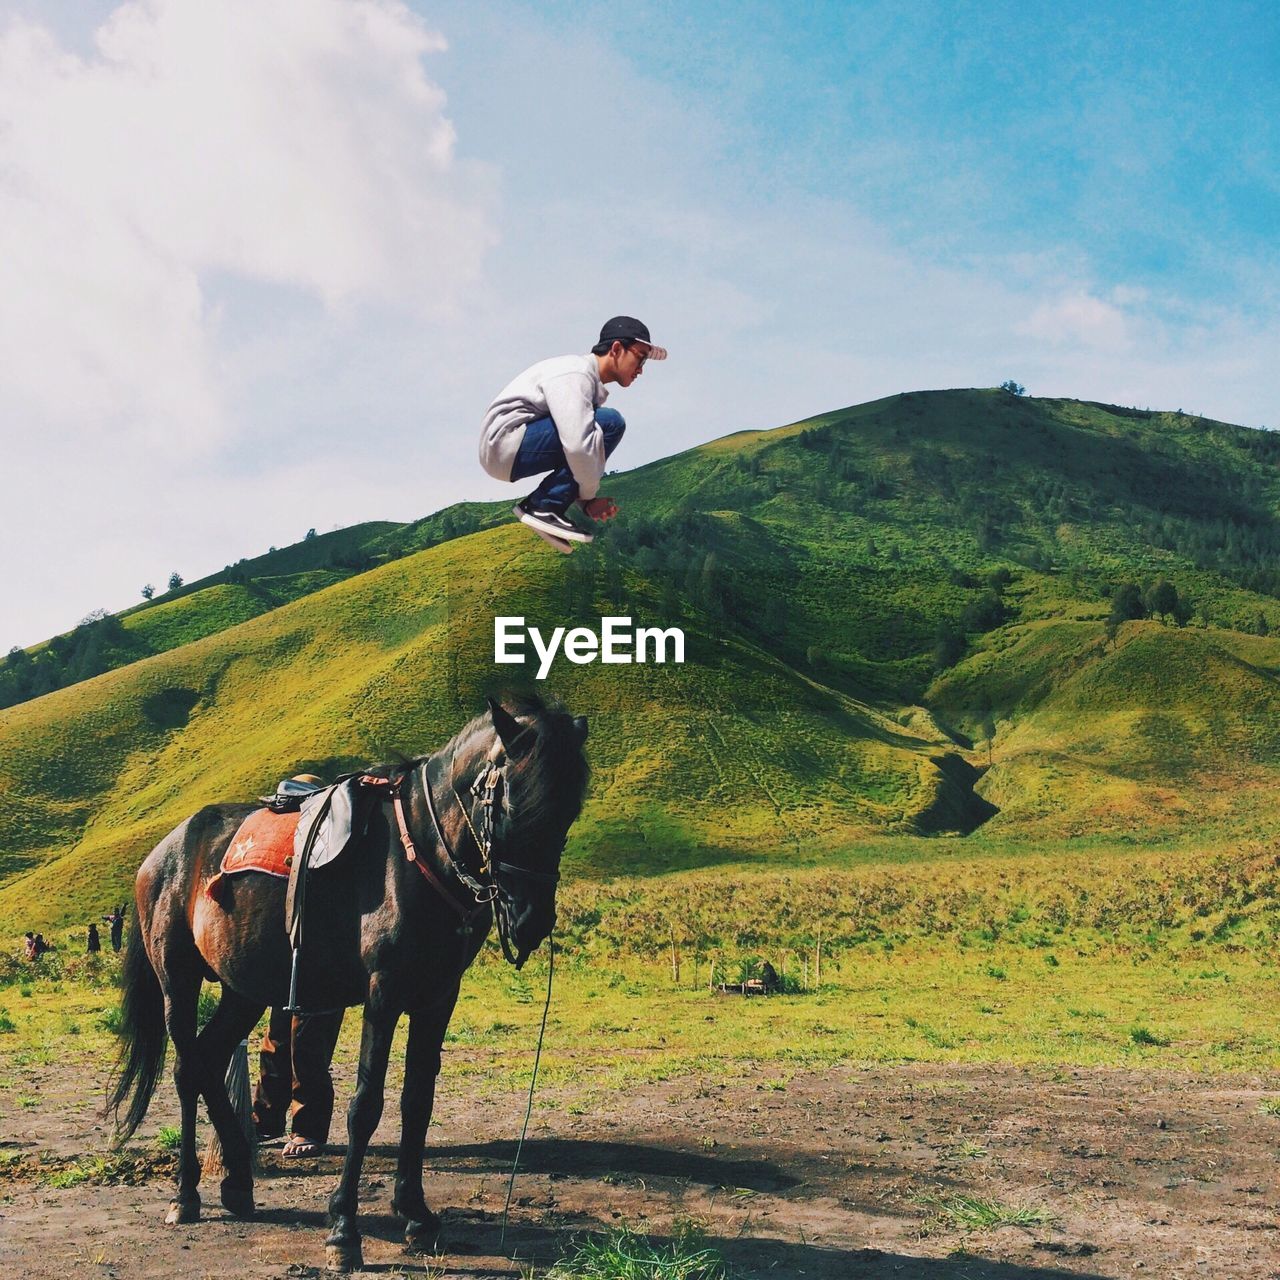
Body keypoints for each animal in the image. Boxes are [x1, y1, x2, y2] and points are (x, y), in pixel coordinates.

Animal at [110, 701, 588, 1269]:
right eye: (512, 801)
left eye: (569, 812)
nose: (532, 919)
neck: (420, 854)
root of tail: (160, 854)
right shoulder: (383, 995)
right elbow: (366, 1105)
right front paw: (343, 1230)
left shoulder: (437, 998)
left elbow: (417, 1100)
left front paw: (417, 1215)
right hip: (177, 984)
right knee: (187, 1071)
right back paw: (186, 1194)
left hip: (242, 992)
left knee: (208, 1060)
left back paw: (239, 1184)